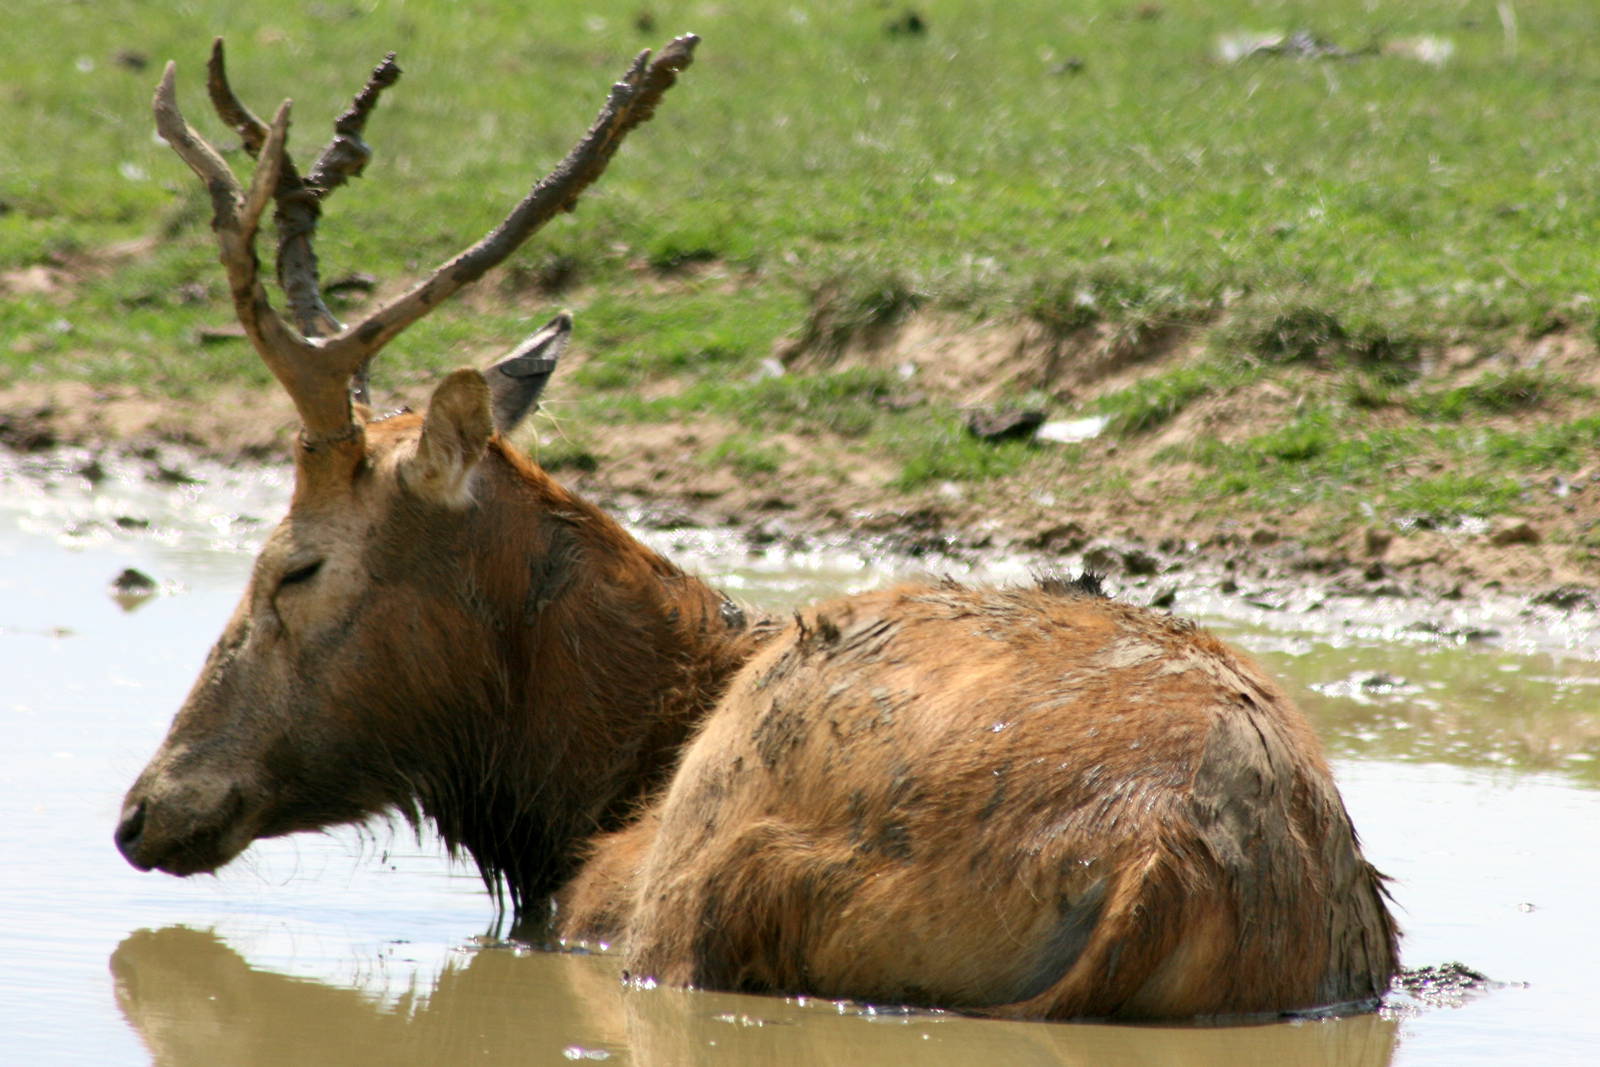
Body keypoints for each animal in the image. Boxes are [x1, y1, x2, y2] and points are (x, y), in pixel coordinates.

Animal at [113, 36, 1400, 1021]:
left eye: (294, 565)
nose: (142, 807)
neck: (594, 769)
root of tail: (1157, 868)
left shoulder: (594, 903)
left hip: (714, 891)